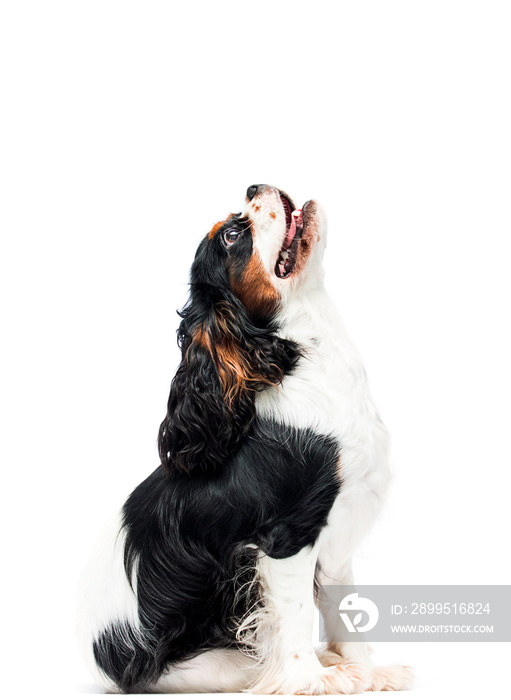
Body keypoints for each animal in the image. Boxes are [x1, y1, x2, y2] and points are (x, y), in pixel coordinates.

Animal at [76, 183, 414, 692]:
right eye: (233, 236)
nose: (255, 187)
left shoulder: (336, 539)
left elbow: (344, 611)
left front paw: (367, 672)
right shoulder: (288, 536)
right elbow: (295, 616)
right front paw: (310, 681)